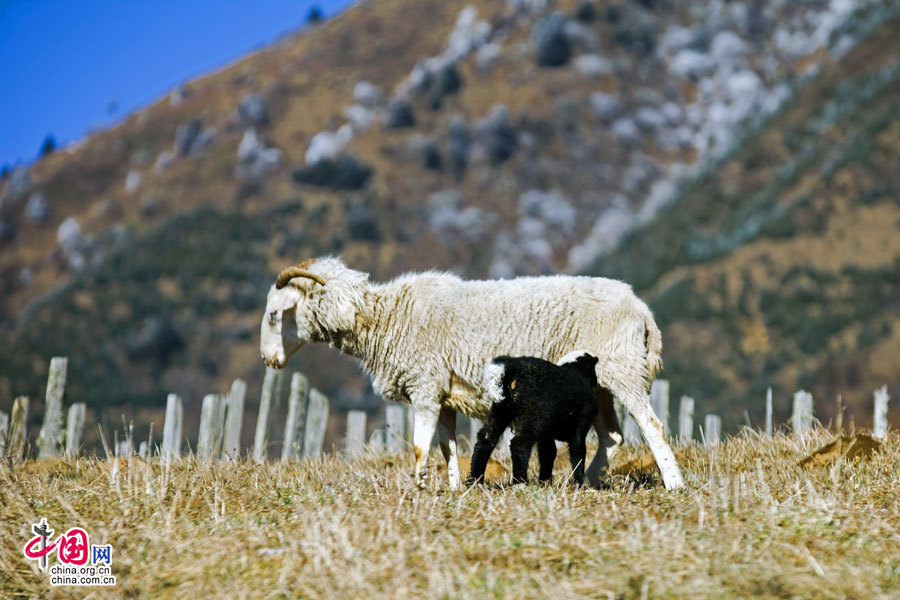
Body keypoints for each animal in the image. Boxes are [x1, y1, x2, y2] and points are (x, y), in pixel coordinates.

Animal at [468, 352, 600, 488]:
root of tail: (511, 365)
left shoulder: (547, 433)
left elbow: (548, 453)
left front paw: (545, 482)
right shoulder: (580, 424)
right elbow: (577, 452)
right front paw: (579, 483)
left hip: (502, 410)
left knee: (486, 439)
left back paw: (474, 481)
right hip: (534, 414)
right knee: (519, 444)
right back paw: (520, 482)